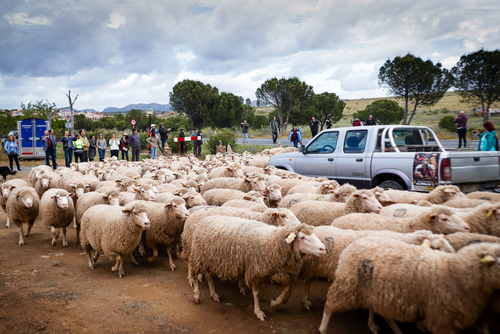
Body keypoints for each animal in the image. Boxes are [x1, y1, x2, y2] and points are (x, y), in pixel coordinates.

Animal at [189, 217, 326, 320]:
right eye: (302, 237)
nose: (323, 248)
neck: (273, 241)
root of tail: (204, 219)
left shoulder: (279, 272)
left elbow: (288, 289)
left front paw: (275, 303)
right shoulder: (254, 271)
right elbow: (256, 293)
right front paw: (259, 312)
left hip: (210, 259)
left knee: (209, 276)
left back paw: (214, 294)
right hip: (198, 256)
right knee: (195, 275)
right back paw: (197, 295)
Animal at [316, 236, 500, 334]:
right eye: (436, 247)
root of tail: (354, 244)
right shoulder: (442, 318)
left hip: (372, 288)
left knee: (375, 309)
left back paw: (376, 325)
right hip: (347, 284)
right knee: (330, 305)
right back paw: (323, 328)